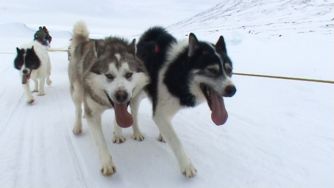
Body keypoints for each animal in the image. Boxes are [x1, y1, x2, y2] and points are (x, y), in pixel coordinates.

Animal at [68, 22, 149, 176]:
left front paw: (118, 134)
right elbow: (100, 141)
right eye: (109, 75)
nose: (121, 95)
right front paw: (107, 163)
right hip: (77, 90)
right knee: (77, 107)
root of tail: (84, 41)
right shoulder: (93, 113)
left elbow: (121, 119)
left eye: (129, 74)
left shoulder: (129, 102)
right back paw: (77, 126)